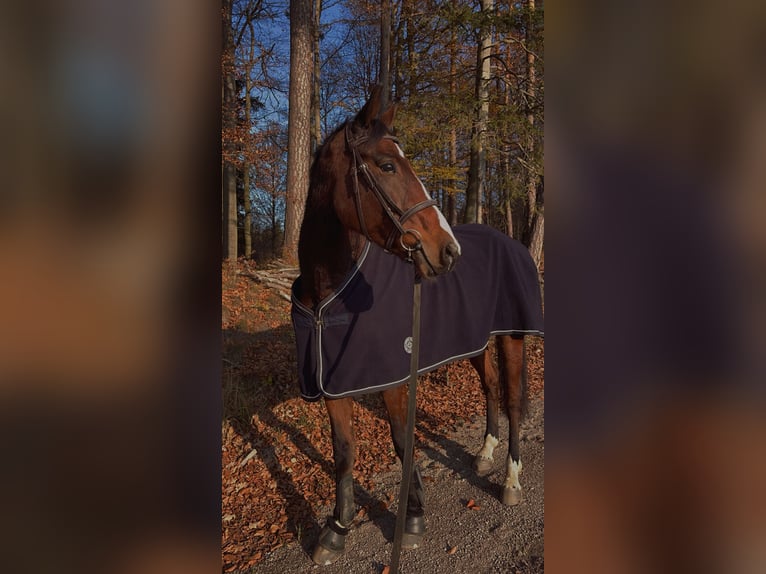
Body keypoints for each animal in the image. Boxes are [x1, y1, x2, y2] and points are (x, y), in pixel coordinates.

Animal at [290, 88, 544, 568]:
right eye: (387, 166)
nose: (447, 250)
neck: (328, 293)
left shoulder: (393, 380)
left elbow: (402, 442)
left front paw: (412, 518)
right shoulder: (334, 384)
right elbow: (343, 453)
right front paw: (337, 529)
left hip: (513, 337)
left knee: (515, 400)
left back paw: (511, 480)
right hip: (476, 342)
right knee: (491, 388)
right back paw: (484, 454)